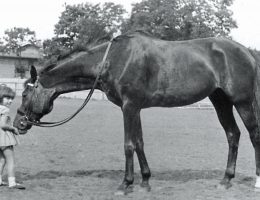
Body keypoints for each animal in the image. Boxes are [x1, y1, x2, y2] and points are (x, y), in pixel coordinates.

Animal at [12, 31, 260, 194]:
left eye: (24, 94)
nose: (18, 123)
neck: (113, 60)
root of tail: (246, 52)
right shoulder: (135, 108)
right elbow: (139, 142)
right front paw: (145, 181)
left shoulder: (129, 107)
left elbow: (128, 144)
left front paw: (125, 184)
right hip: (221, 101)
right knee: (233, 135)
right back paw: (226, 180)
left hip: (242, 101)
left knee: (253, 135)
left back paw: (256, 180)